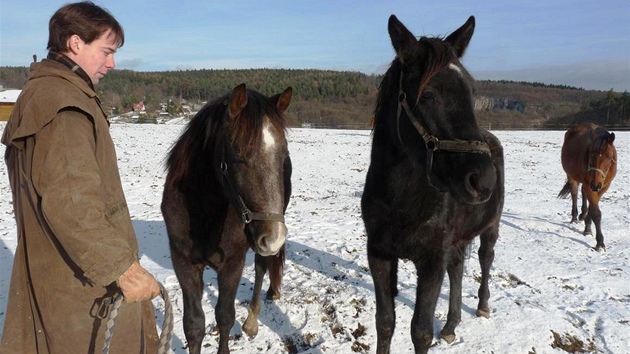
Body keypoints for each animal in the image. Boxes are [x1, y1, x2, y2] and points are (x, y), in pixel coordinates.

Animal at [160, 83, 294, 354]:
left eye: (283, 154)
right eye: (239, 156)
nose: (273, 238)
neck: (205, 216)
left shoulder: (233, 263)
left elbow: (224, 316)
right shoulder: (183, 264)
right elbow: (194, 324)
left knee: (262, 266)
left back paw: (252, 320)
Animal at [362, 15, 506, 352]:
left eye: (471, 93)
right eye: (428, 95)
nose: (483, 181)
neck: (401, 200)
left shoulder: (431, 262)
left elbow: (421, 331)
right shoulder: (379, 254)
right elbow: (384, 322)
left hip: (490, 228)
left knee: (485, 259)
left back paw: (482, 306)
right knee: (457, 268)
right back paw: (451, 326)